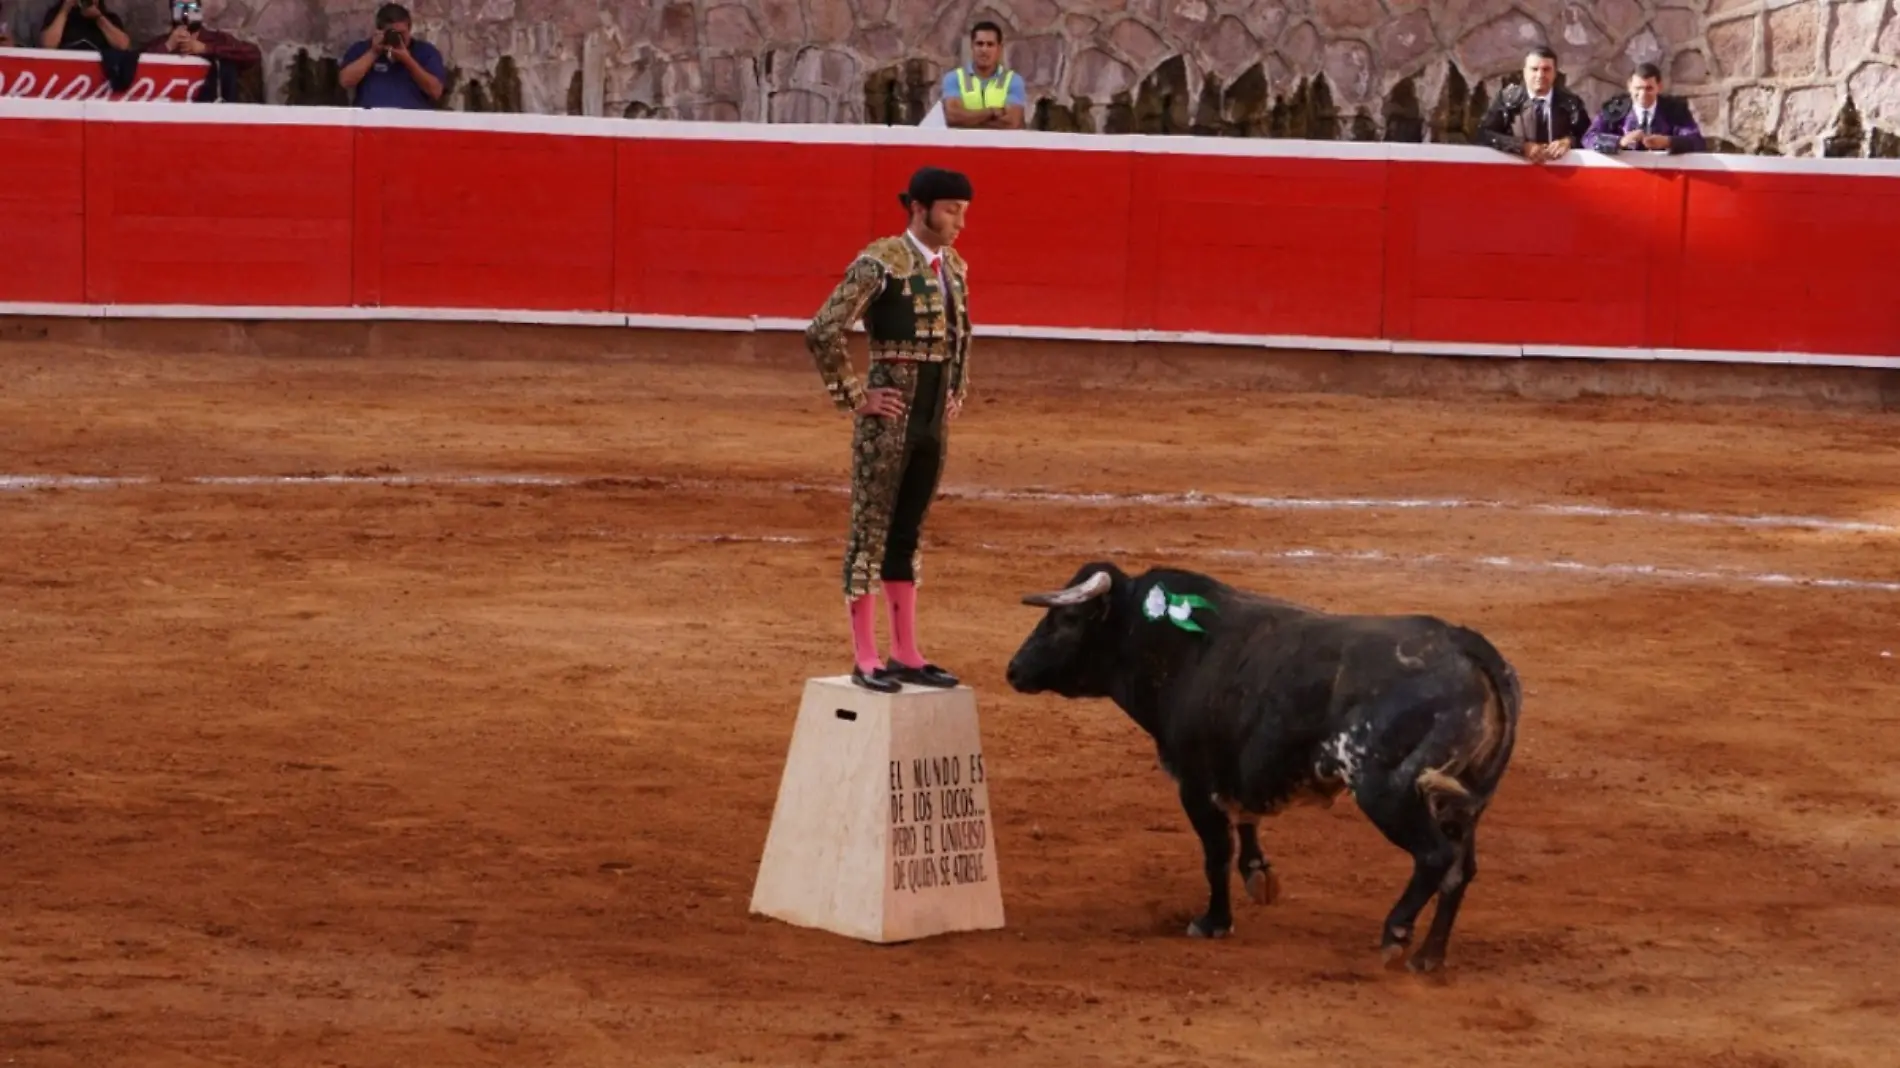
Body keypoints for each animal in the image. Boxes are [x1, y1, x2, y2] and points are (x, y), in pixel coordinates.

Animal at [1003, 562, 1520, 969]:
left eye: (1068, 618)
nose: (1013, 670)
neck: (1168, 644)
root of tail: (1467, 646)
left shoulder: (1195, 781)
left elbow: (1215, 852)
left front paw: (1214, 921)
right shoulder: (1239, 769)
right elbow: (1246, 823)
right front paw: (1258, 875)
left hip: (1387, 791)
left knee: (1434, 857)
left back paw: (1396, 935)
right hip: (1461, 801)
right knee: (1460, 870)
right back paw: (1429, 958)